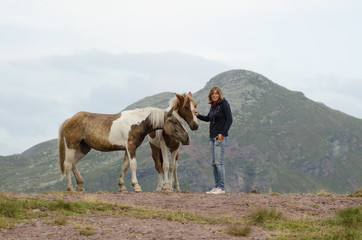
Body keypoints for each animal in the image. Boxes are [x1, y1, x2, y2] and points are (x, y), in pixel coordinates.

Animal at [58, 108, 189, 192]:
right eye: (174, 121)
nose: (186, 138)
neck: (136, 122)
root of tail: (68, 120)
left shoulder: (127, 149)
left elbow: (125, 166)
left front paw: (122, 187)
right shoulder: (131, 147)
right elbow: (133, 165)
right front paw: (136, 186)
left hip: (84, 148)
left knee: (73, 163)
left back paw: (80, 185)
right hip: (72, 146)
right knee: (68, 164)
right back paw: (70, 188)